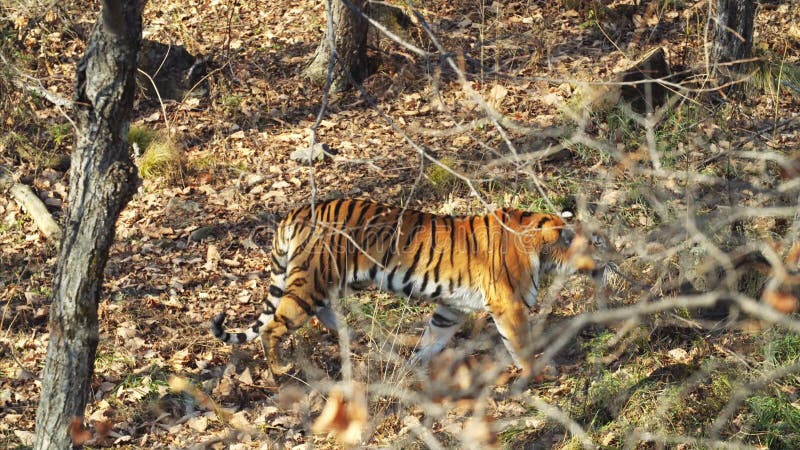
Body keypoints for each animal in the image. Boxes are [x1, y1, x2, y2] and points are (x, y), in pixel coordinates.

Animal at [212, 199, 600, 374]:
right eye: (597, 242)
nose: (611, 259)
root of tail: (294, 214)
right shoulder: (510, 305)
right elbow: (520, 342)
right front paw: (539, 372)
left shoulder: (452, 306)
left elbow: (434, 337)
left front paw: (414, 366)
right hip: (309, 284)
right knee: (273, 328)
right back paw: (280, 371)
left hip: (329, 285)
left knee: (325, 317)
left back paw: (363, 342)